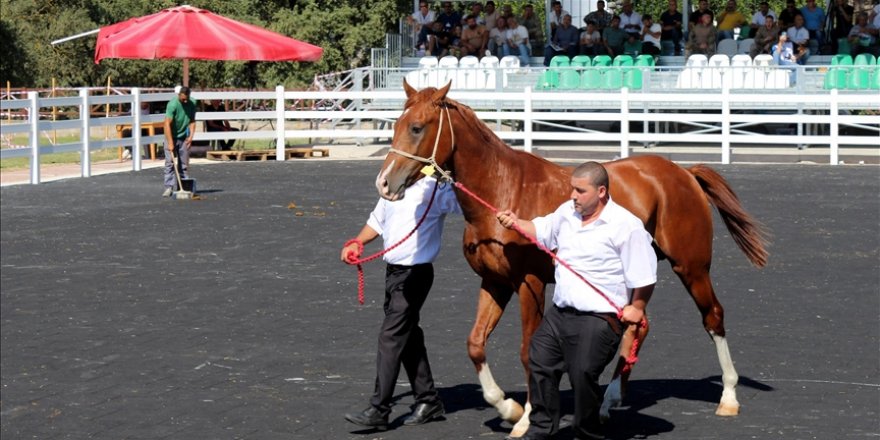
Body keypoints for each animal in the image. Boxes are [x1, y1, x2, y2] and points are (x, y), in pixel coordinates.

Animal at [374, 82, 768, 436]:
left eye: (417, 127)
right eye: (395, 124)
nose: (384, 183)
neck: (502, 190)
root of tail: (684, 173)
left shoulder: (529, 284)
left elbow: (527, 350)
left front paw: (525, 418)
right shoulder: (495, 282)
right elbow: (475, 344)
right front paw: (507, 407)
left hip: (692, 267)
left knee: (712, 316)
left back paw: (728, 396)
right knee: (638, 325)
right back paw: (608, 402)